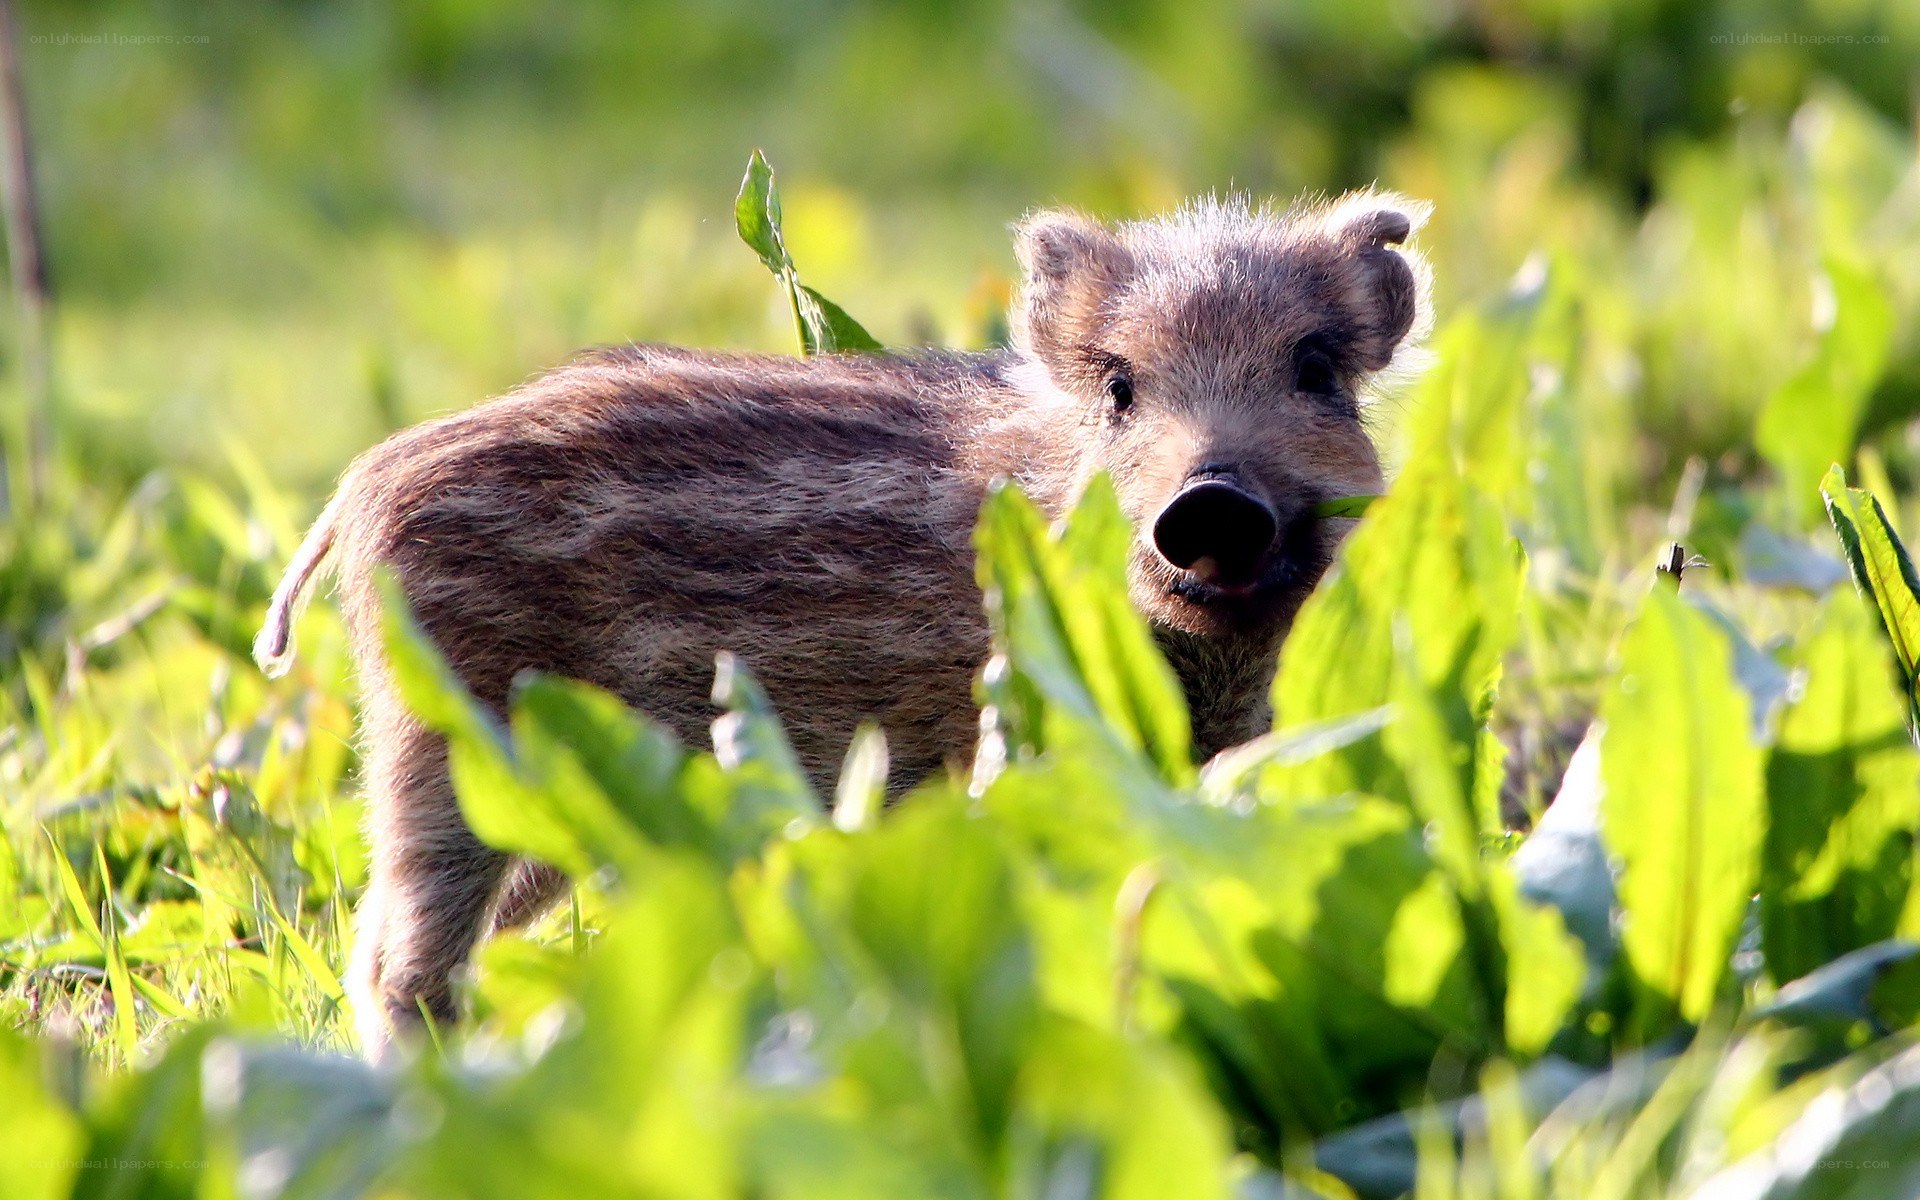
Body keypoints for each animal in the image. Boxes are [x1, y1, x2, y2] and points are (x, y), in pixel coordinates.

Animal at [255, 190, 1430, 1059]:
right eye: (1120, 387)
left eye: (1317, 371)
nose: (1212, 501)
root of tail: (367, 480)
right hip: (450, 741)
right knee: (397, 959)